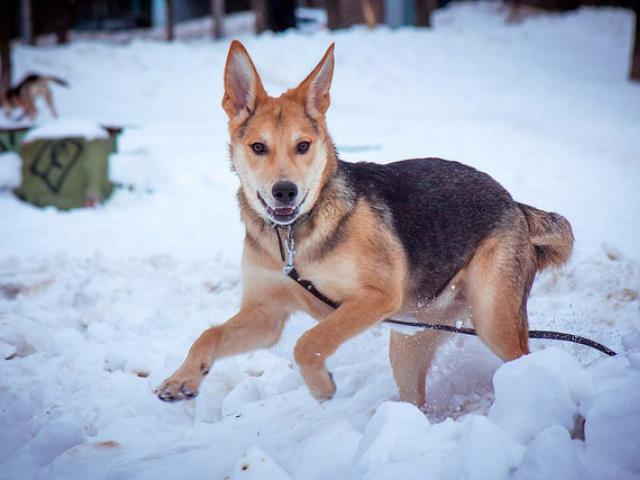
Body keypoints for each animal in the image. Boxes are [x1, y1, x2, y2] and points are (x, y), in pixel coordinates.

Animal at [155, 41, 576, 406]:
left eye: (302, 146)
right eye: (258, 147)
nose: (285, 192)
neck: (294, 238)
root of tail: (513, 202)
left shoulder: (375, 297)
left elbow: (308, 342)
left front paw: (320, 385)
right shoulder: (266, 315)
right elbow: (208, 334)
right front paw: (182, 378)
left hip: (492, 320)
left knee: (525, 361)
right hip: (409, 341)